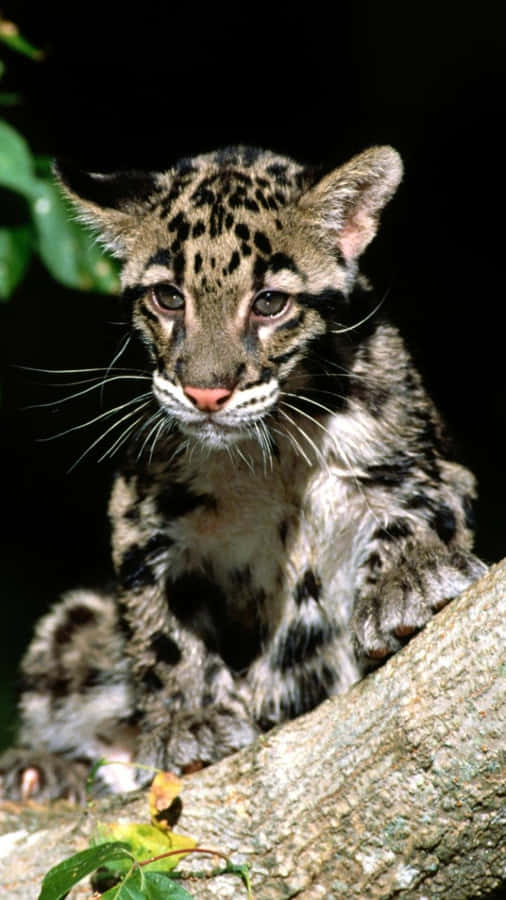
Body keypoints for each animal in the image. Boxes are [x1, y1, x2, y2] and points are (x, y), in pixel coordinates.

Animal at [0, 144, 487, 802]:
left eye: (269, 303)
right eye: (168, 298)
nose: (206, 393)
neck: (269, 451)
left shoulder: (429, 462)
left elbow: (417, 509)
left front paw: (408, 580)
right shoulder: (142, 517)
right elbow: (158, 625)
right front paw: (190, 719)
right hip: (75, 627)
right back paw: (41, 770)